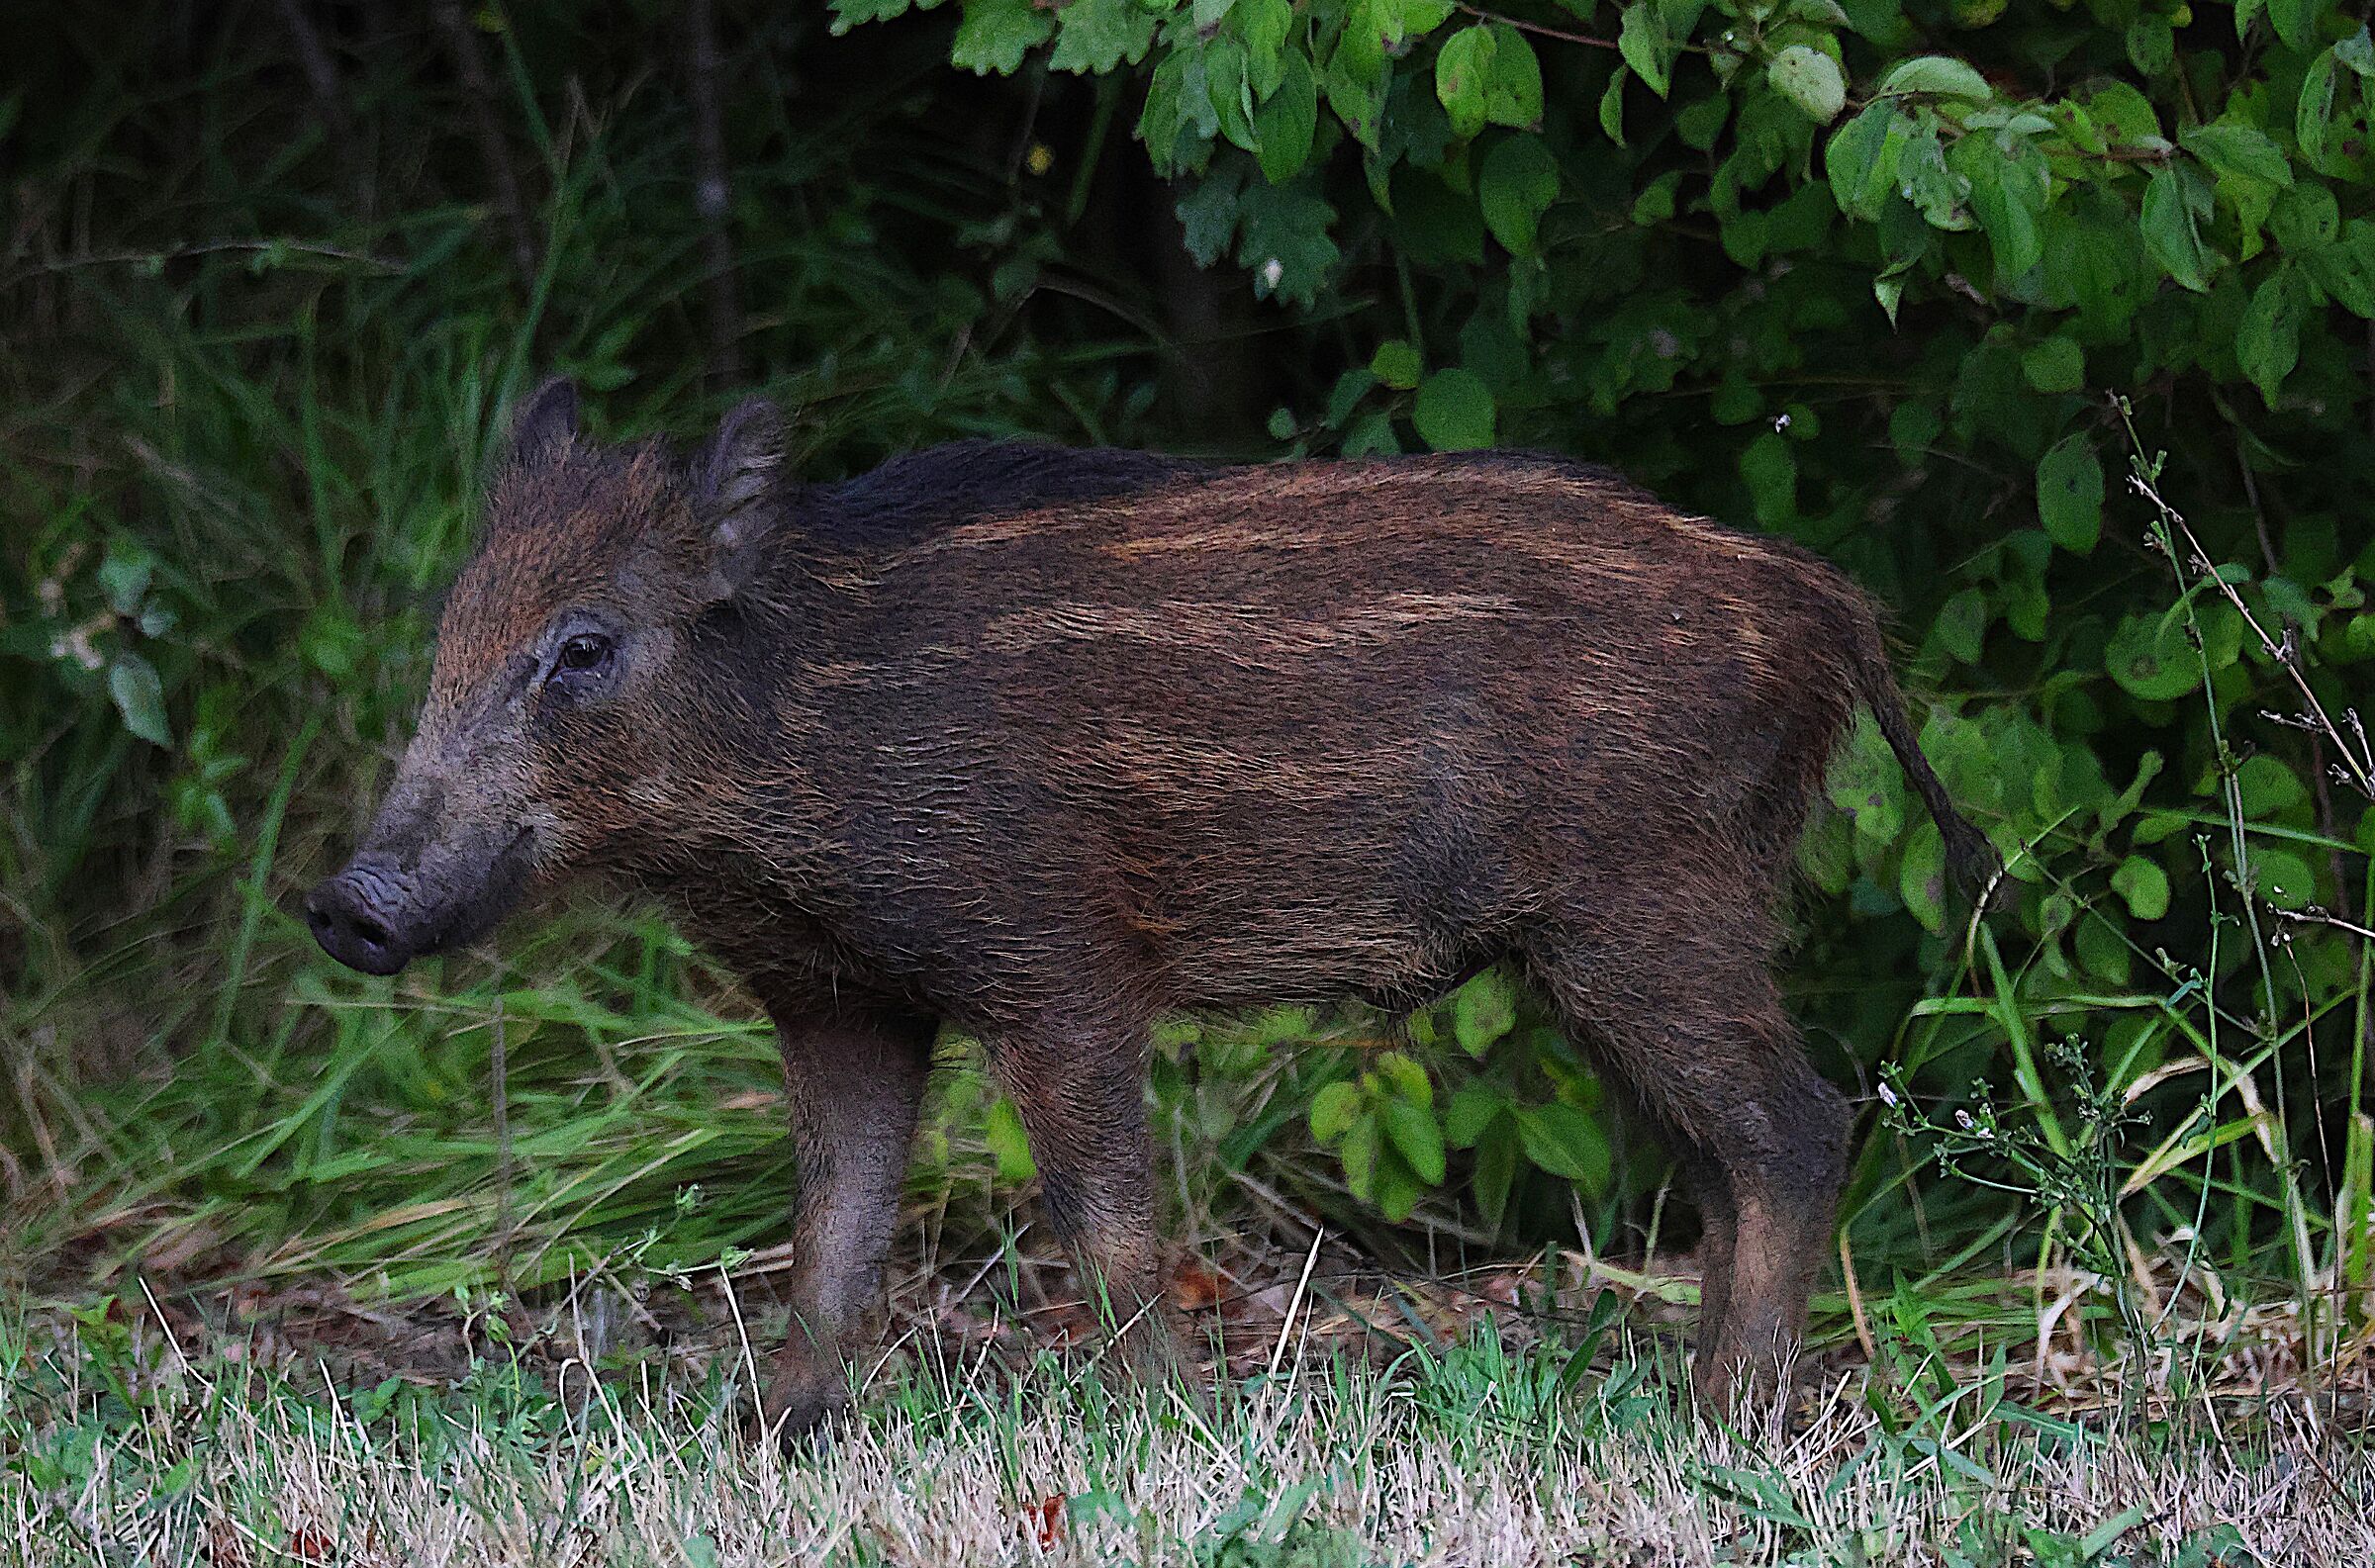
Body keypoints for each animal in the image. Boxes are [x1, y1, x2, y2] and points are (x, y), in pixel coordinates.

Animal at [306, 378, 1995, 1436]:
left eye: (583, 646)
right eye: (454, 631)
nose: (347, 905)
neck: (801, 750)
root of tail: (1832, 612)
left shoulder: (1058, 963)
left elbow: (1102, 1222)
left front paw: (1170, 1432)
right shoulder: (845, 999)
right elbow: (832, 1224)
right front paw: (771, 1436)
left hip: (1651, 911)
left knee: (1799, 1127)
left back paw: (1720, 1426)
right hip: (1616, 946)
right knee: (1725, 1160)